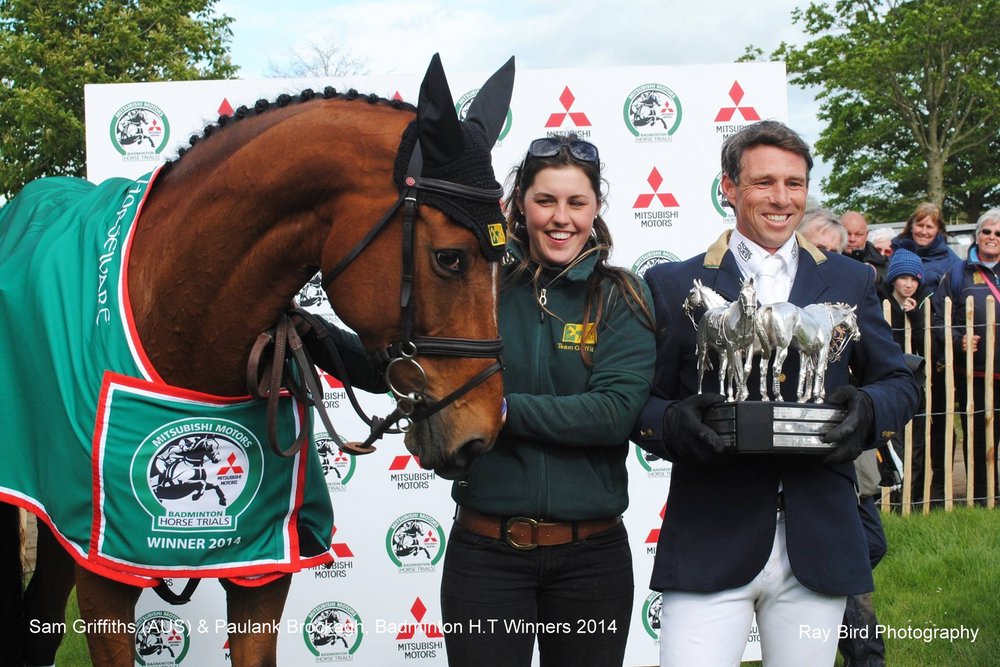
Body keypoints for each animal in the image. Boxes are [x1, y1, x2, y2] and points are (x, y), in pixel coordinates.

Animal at [0, 53, 514, 667]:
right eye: (450, 258)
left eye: (506, 260)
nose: (482, 432)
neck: (181, 324)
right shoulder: (102, 571)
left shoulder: (260, 571)